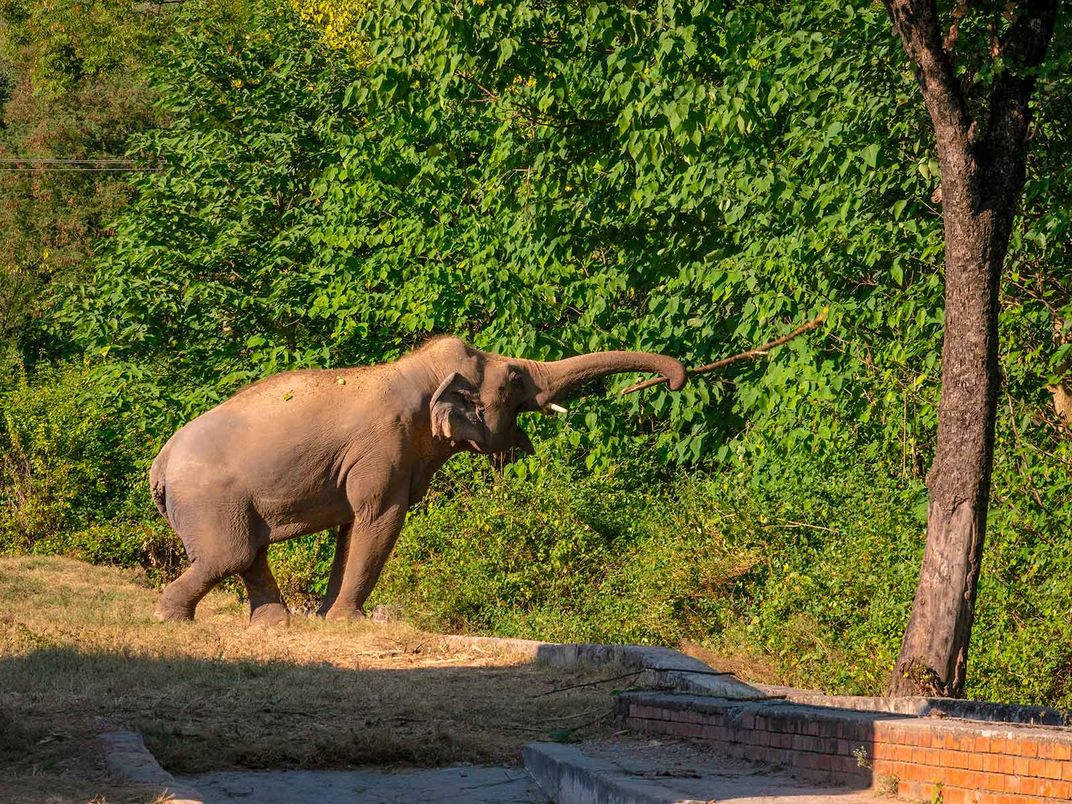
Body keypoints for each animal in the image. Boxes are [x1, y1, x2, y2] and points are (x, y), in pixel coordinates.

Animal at [149, 336, 686, 626]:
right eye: (515, 377)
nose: (671, 381)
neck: (417, 371)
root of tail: (160, 462)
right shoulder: (383, 448)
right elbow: (380, 521)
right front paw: (349, 622)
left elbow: (353, 530)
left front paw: (327, 620)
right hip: (208, 500)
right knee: (231, 555)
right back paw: (171, 620)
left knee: (250, 555)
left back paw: (273, 628)